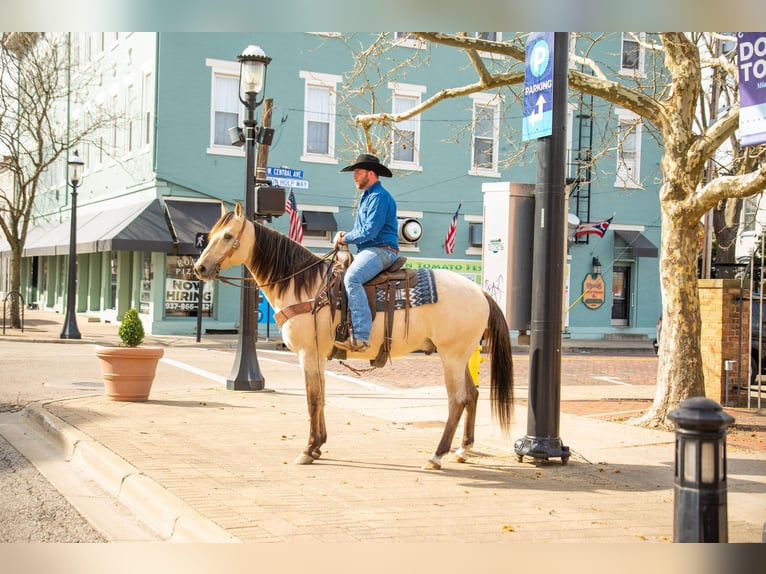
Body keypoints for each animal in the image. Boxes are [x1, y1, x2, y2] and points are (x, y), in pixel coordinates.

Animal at [192, 204, 516, 472]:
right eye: (210, 235)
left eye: (228, 236)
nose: (199, 268)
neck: (304, 286)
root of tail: (480, 291)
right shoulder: (318, 354)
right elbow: (322, 396)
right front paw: (319, 445)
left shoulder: (308, 352)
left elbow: (312, 399)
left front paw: (308, 449)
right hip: (461, 354)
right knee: (473, 394)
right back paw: (462, 450)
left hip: (451, 355)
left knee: (457, 399)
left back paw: (436, 455)